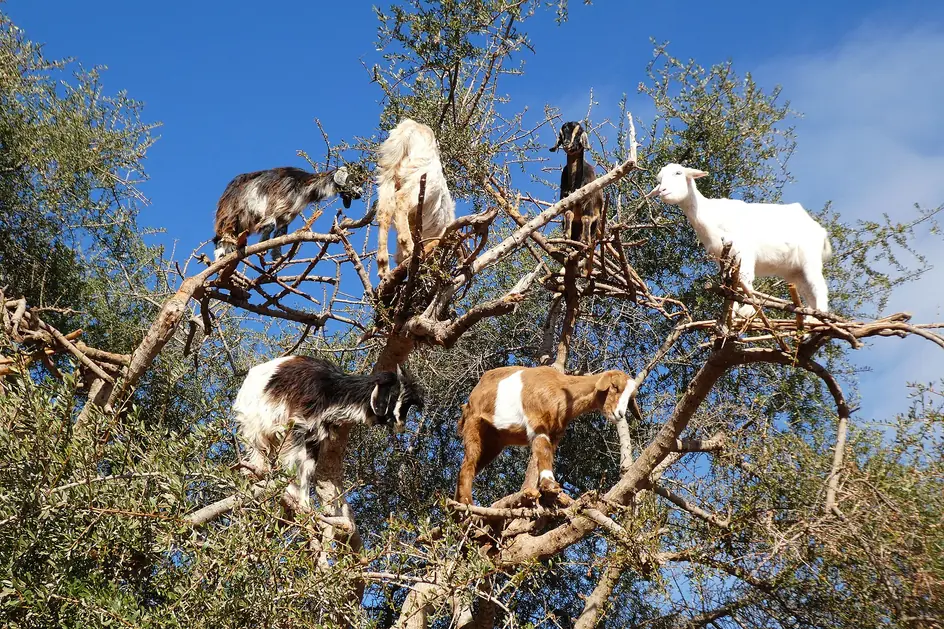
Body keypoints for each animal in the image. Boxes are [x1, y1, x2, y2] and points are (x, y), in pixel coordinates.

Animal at [213, 166, 362, 261]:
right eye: (353, 180)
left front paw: (276, 257)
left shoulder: (286, 215)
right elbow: (269, 226)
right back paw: (220, 256)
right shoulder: (274, 204)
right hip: (231, 215)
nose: (360, 193)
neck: (304, 185)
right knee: (222, 236)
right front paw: (262, 247)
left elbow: (281, 234)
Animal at [233, 355, 424, 510]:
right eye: (394, 395)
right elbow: (293, 461)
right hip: (253, 426)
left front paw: (305, 505)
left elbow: (308, 469)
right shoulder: (297, 425)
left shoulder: (314, 437)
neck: (331, 389)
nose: (401, 425)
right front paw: (293, 493)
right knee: (258, 451)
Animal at [374, 118, 456, 278]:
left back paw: (383, 266)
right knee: (401, 201)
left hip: (388, 174)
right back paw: (409, 246)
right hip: (423, 180)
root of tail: (412, 128)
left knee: (384, 212)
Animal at [454, 365, 637, 505]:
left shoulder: (555, 433)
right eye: (614, 386)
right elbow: (543, 450)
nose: (620, 414)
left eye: (630, 398)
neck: (560, 390)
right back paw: (467, 504)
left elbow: (544, 455)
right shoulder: (537, 423)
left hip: (494, 441)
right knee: (468, 464)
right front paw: (550, 484)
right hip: (474, 423)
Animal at [647, 163, 832, 319]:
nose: (663, 191)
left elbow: (746, 280)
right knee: (808, 293)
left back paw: (819, 316)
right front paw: (733, 310)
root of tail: (821, 231)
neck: (710, 214)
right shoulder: (722, 258)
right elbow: (732, 284)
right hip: (795, 271)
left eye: (678, 173)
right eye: (659, 179)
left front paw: (747, 309)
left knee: (819, 286)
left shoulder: (745, 251)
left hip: (810, 257)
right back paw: (811, 319)